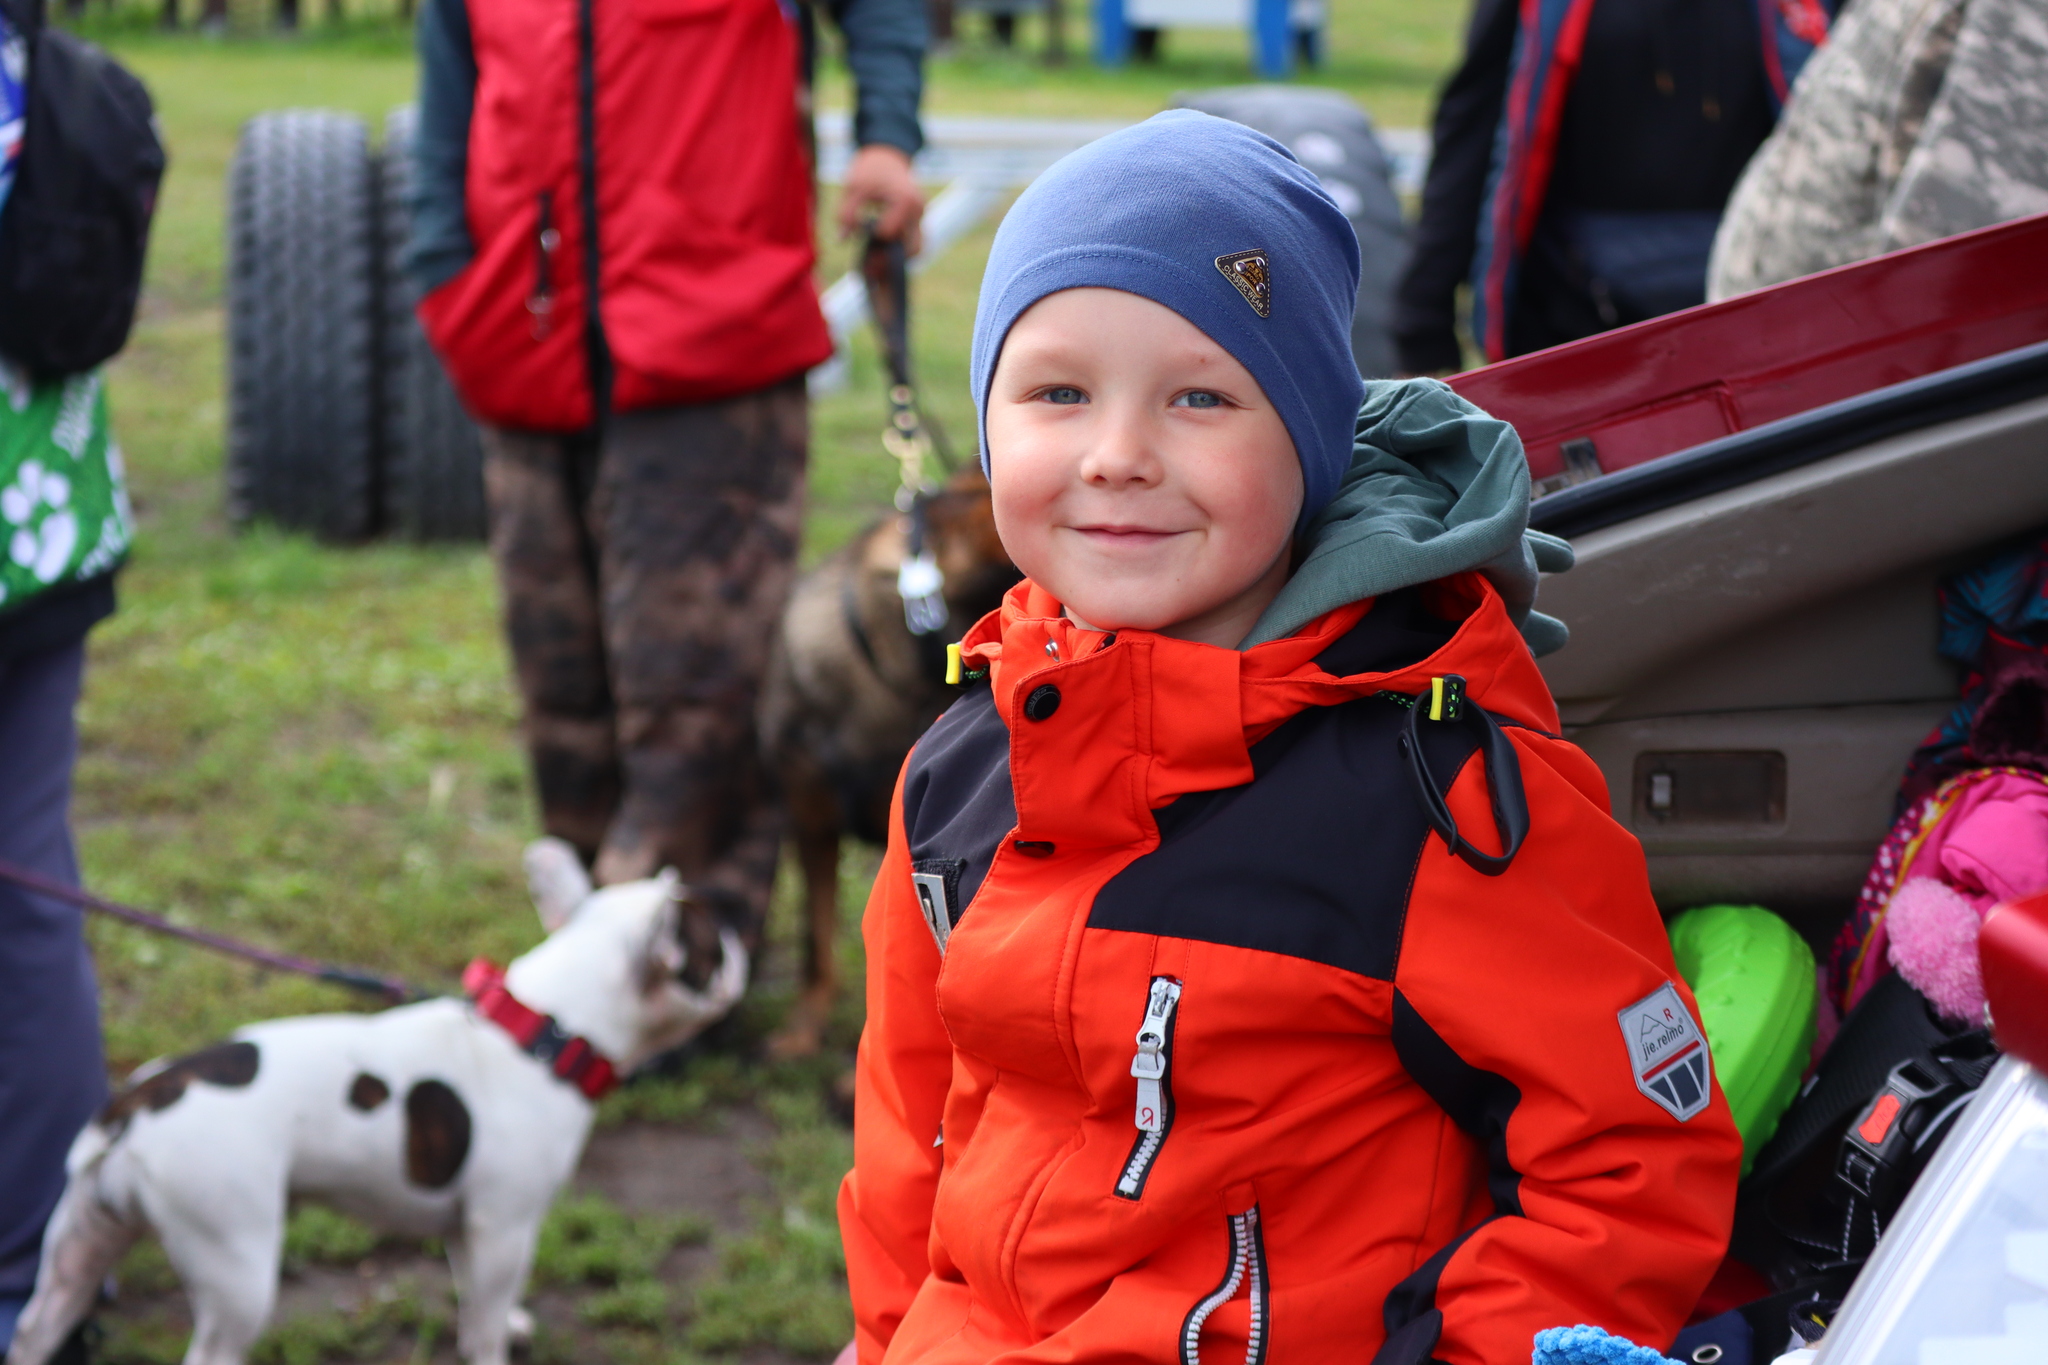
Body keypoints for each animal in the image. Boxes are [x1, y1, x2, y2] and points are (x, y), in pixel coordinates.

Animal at [6, 847, 745, 1365]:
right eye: (713, 943)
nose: (741, 933)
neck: (545, 1030)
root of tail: (136, 1104)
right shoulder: (505, 1225)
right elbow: (482, 1317)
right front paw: (492, 1343)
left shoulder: (469, 1225)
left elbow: (477, 1293)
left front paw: (509, 1321)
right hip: (235, 1264)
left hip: (80, 1242)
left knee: (39, 1326)